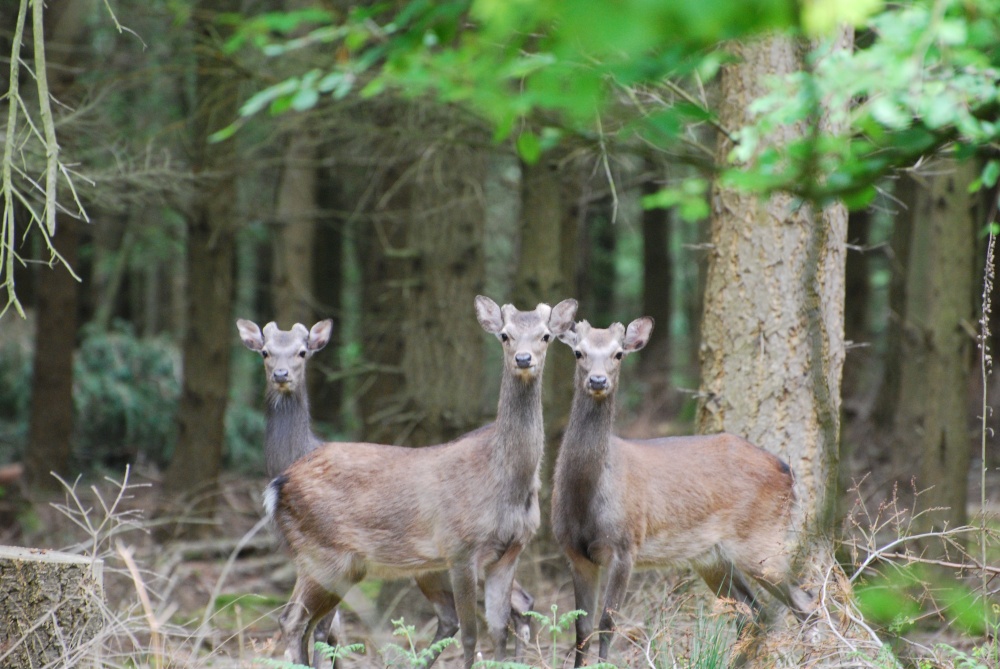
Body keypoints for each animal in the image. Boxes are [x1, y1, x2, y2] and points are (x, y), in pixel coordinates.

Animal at [257, 296, 578, 668]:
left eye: (545, 336)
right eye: (504, 335)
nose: (523, 359)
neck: (504, 483)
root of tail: (279, 482)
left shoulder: (509, 552)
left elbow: (497, 628)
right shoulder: (460, 548)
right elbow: (471, 635)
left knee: (308, 625)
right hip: (323, 554)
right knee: (294, 620)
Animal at [551, 316, 815, 667]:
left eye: (618, 354)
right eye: (578, 352)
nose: (597, 380)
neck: (587, 497)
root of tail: (787, 471)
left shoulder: (625, 545)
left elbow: (607, 623)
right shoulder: (574, 553)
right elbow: (581, 629)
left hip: (761, 538)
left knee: (804, 602)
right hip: (712, 558)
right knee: (752, 613)